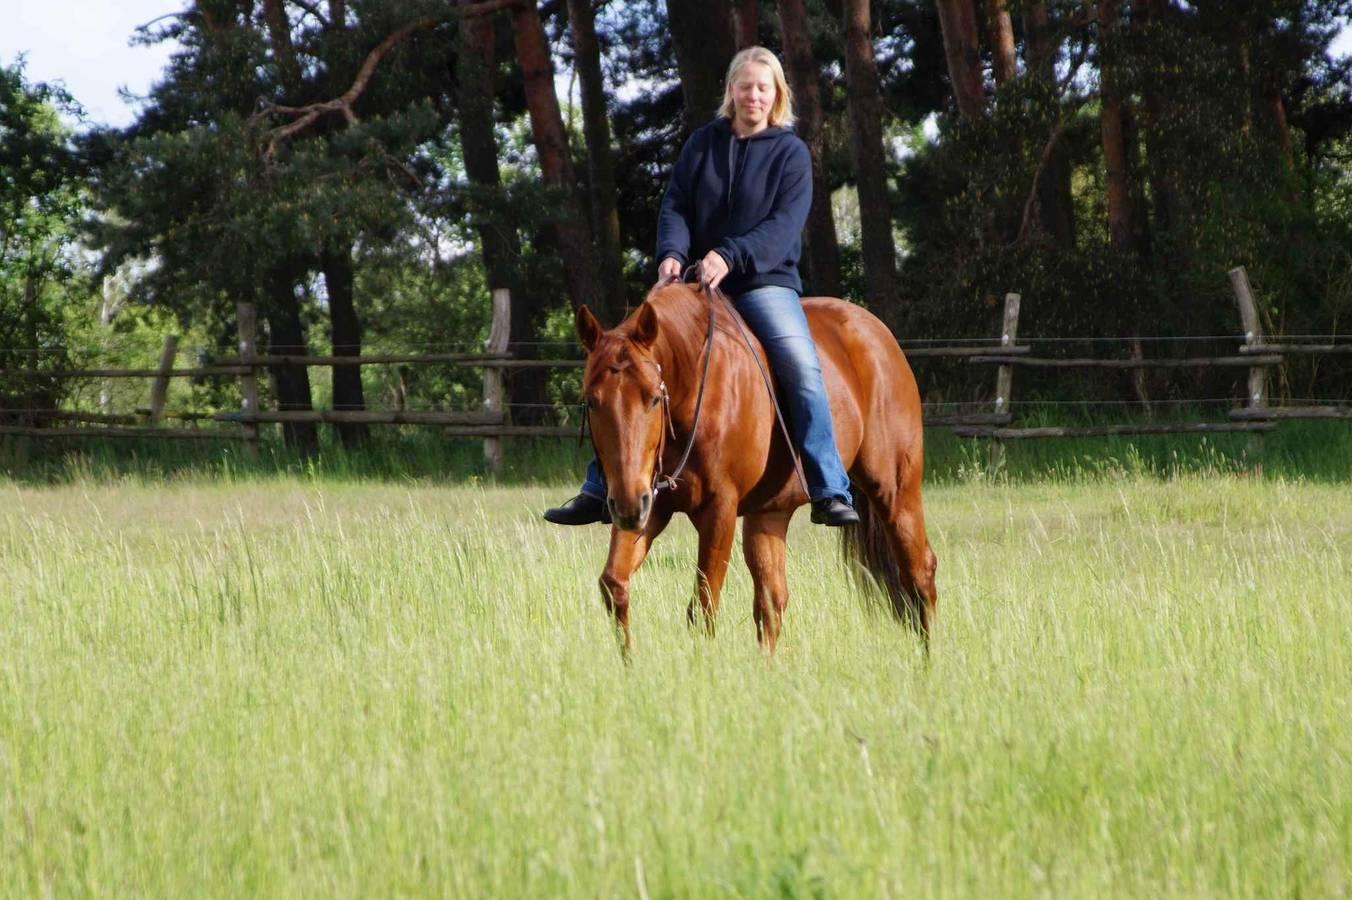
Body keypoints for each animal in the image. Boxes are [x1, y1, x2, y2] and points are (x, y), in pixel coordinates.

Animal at [575, 280, 936, 653]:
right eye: (591, 400)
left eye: (653, 398)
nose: (628, 504)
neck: (694, 387)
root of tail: (879, 335)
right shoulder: (650, 504)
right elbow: (614, 585)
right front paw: (628, 661)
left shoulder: (718, 510)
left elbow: (703, 605)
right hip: (769, 514)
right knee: (771, 603)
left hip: (896, 492)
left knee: (920, 572)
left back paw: (928, 658)